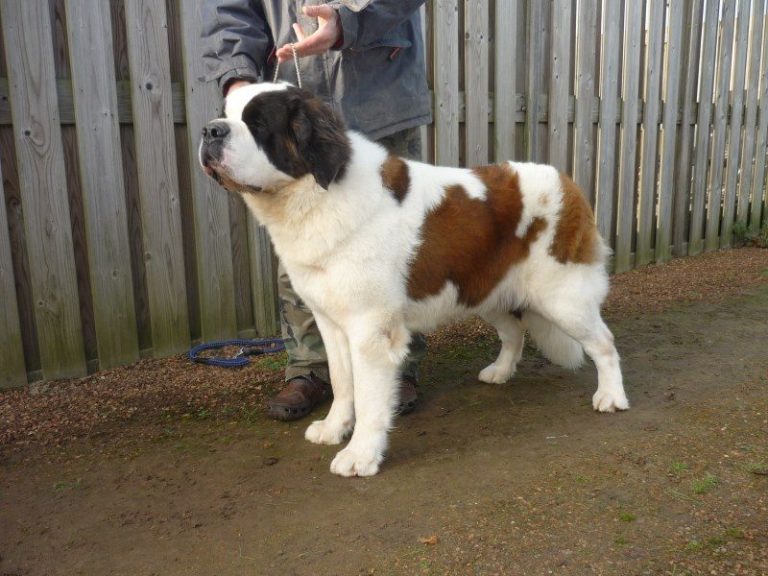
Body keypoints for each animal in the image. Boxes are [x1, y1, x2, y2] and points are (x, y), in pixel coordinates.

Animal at [199, 82, 629, 477]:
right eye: (225, 113)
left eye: (258, 123)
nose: (210, 130)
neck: (314, 195)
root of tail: (567, 182)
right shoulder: (330, 322)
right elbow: (341, 380)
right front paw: (335, 428)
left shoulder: (370, 331)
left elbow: (369, 396)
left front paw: (360, 455)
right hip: (484, 289)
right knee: (514, 332)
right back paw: (500, 372)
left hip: (563, 298)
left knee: (604, 343)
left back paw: (611, 396)